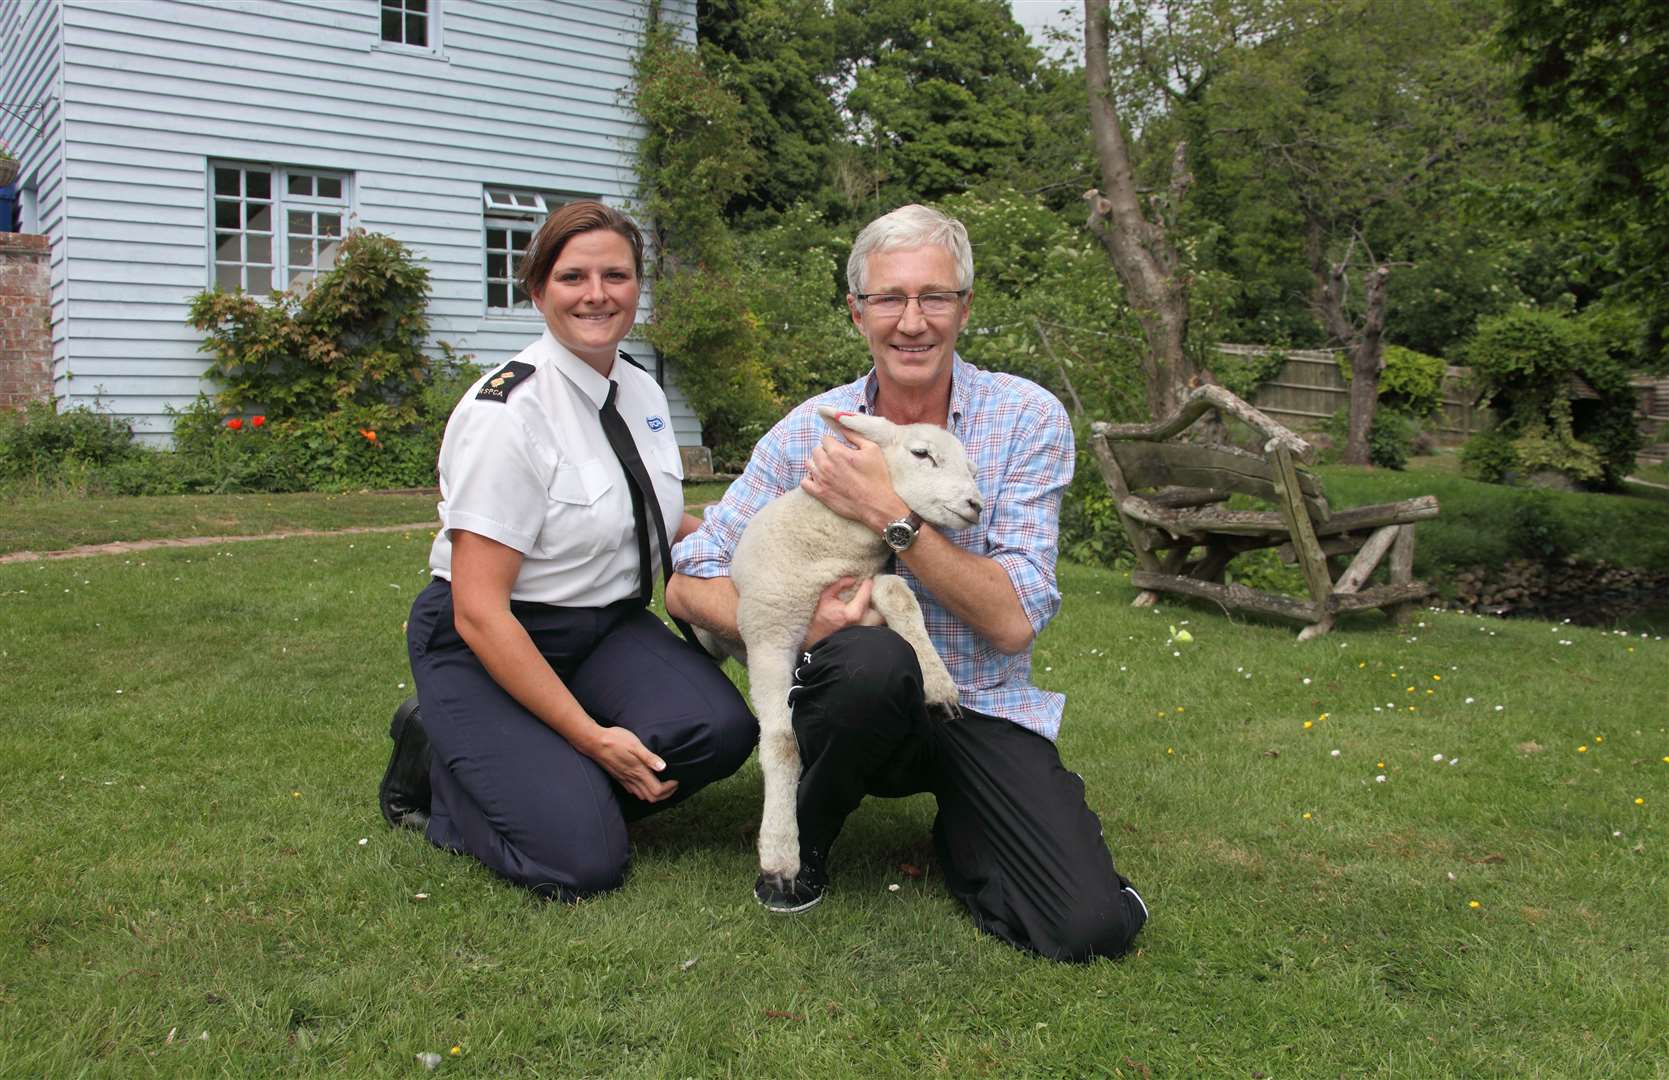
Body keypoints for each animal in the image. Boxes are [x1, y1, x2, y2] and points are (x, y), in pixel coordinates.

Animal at [694, 405, 981, 901]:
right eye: (921, 454)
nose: (976, 505)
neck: (832, 542)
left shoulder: (860, 587)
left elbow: (898, 592)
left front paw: (939, 684)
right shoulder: (770, 633)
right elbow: (781, 742)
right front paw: (781, 854)